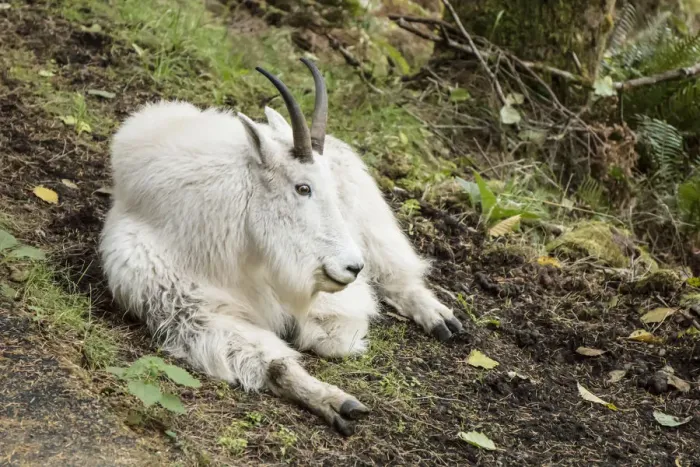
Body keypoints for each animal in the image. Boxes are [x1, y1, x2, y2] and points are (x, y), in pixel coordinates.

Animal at [99, 58, 463, 435]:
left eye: (326, 187)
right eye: (303, 188)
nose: (353, 267)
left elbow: (332, 336)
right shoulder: (185, 306)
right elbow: (274, 362)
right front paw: (334, 402)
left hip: (368, 213)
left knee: (396, 270)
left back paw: (439, 317)